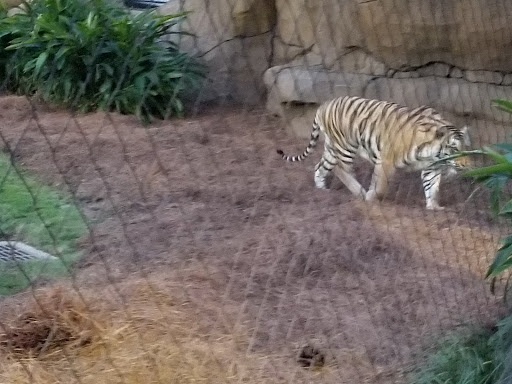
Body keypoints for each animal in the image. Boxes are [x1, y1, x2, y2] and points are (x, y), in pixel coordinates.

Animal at [278, 95, 470, 210]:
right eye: (454, 149)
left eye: (468, 148)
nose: (468, 166)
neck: (432, 153)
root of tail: (323, 105)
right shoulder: (386, 160)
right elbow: (380, 186)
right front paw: (371, 196)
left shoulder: (432, 167)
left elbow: (432, 188)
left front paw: (433, 207)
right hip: (345, 147)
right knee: (341, 169)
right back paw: (359, 192)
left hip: (332, 148)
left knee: (320, 166)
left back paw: (322, 189)